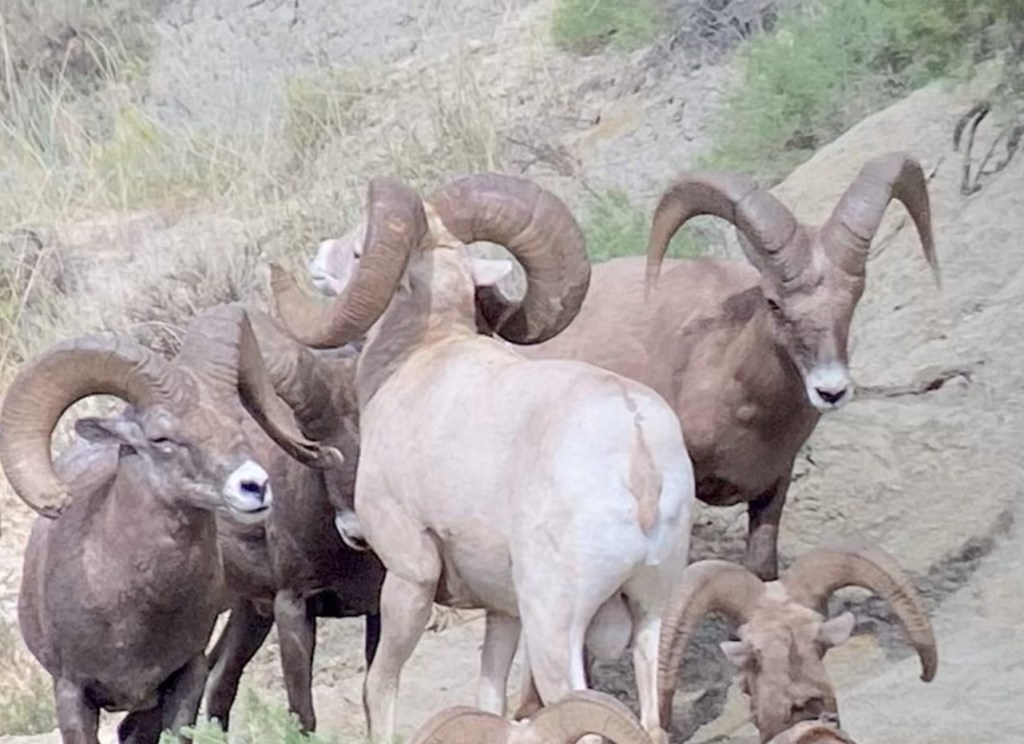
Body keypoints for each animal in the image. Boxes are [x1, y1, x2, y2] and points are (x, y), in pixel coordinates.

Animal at [203, 314, 385, 734]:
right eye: (311, 435)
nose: (357, 531)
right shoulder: (293, 609)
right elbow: (303, 716)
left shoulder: (380, 608)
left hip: (249, 614)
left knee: (218, 682)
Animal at [269, 173, 697, 744]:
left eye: (359, 250)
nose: (319, 257)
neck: (419, 357)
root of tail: (638, 449)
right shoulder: (501, 613)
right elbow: (488, 698)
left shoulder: (408, 577)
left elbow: (378, 688)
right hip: (652, 612)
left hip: (555, 630)